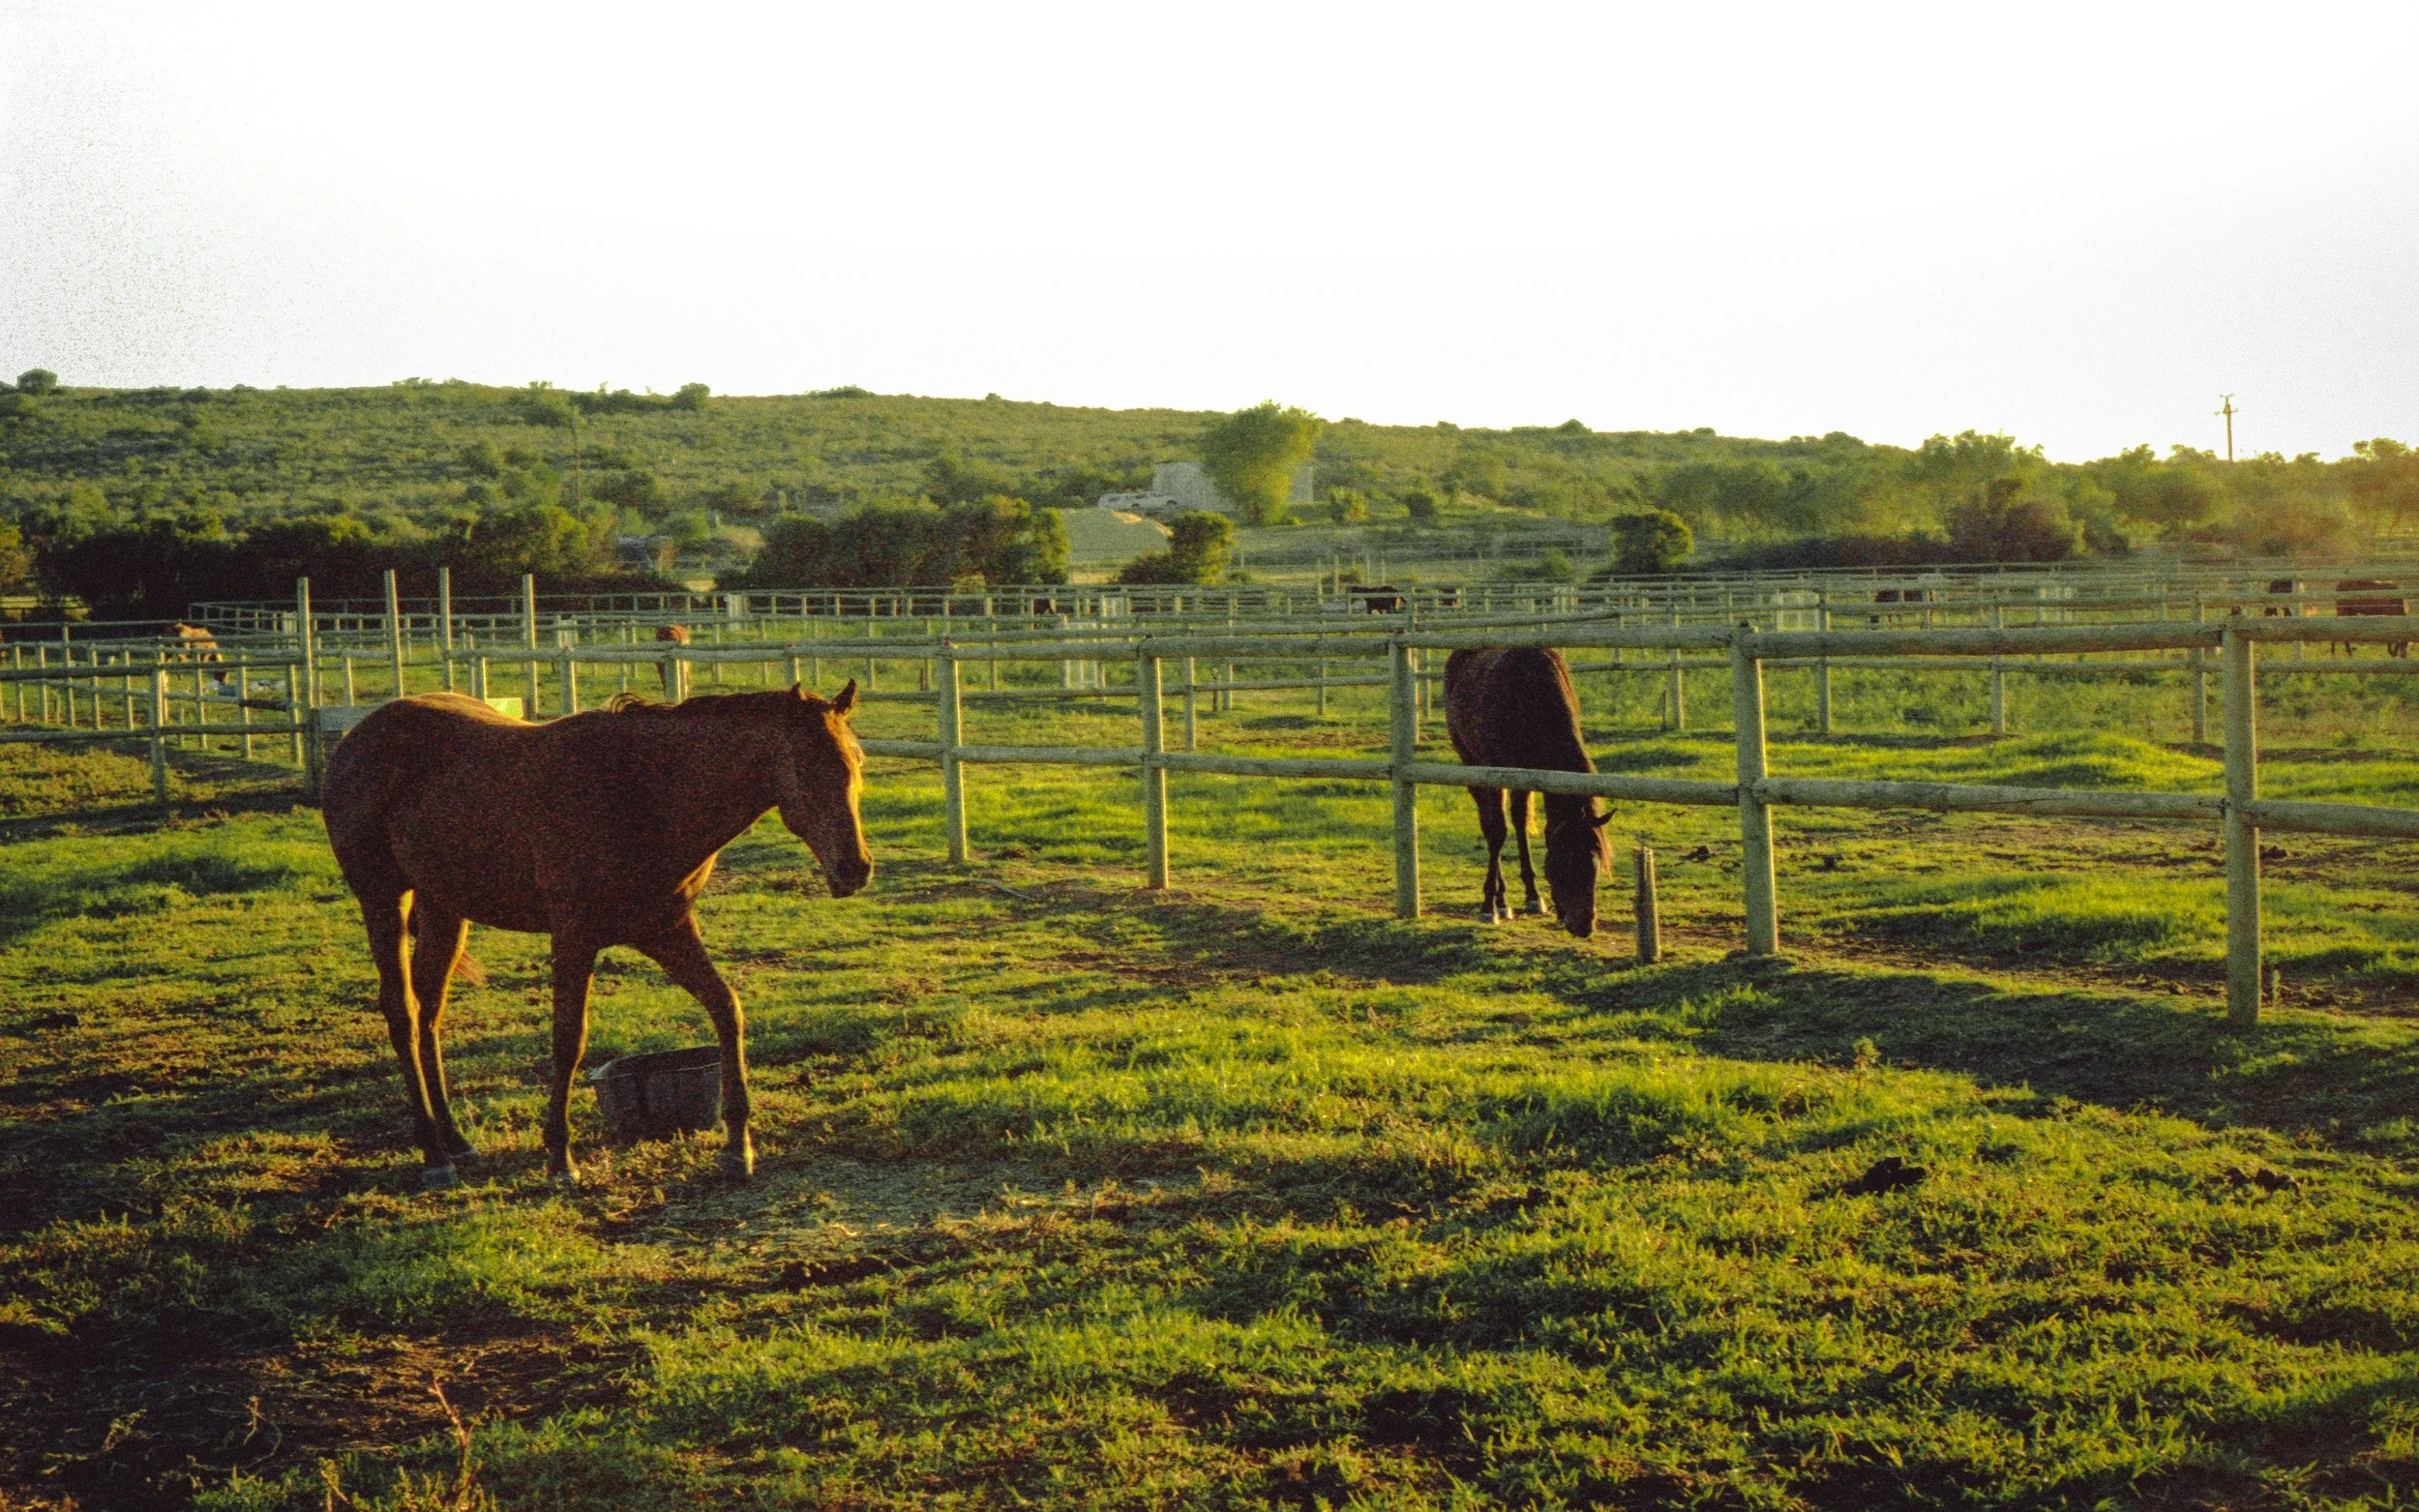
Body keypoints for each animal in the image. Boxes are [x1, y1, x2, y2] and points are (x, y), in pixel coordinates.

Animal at [321, 682, 871, 1188]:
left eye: (857, 763)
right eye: (804, 768)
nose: (855, 868)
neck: (643, 795)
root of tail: (356, 739)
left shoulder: (666, 930)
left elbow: (726, 1009)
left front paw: (738, 1145)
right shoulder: (573, 937)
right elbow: (569, 1040)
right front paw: (559, 1157)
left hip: (445, 910)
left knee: (429, 1013)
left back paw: (455, 1139)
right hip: (382, 900)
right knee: (403, 1012)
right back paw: (434, 1155)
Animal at [1442, 647, 1612, 935]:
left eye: (1594, 864)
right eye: (1564, 865)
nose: (1584, 926)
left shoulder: (1532, 774)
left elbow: (1522, 824)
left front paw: (1535, 897)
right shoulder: (1495, 770)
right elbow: (1497, 832)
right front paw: (1488, 906)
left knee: (1517, 822)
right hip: (1470, 763)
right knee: (1489, 826)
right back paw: (1500, 901)